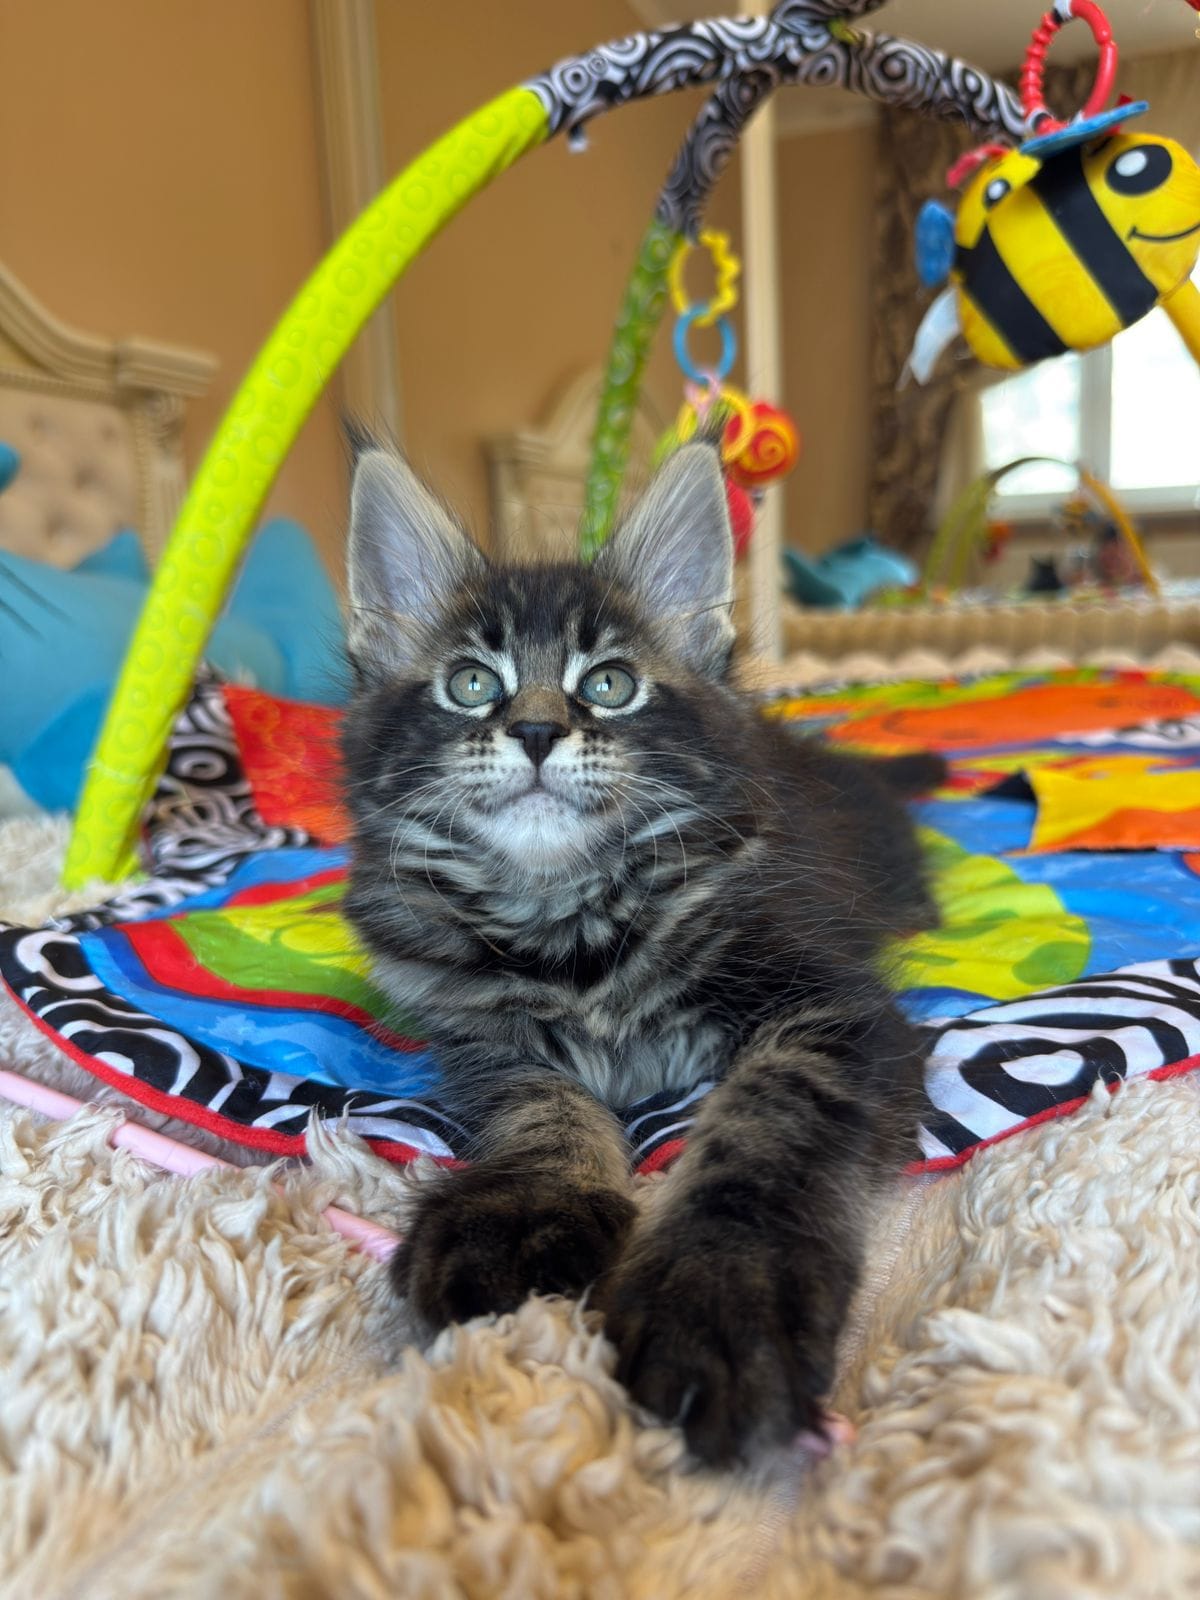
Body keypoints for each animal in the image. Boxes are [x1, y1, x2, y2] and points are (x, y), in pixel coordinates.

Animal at [340, 438, 941, 1464]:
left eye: (609, 685)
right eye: (473, 684)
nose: (537, 730)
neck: (567, 925)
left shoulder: (830, 1007)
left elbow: (764, 1128)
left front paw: (722, 1292)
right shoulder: (483, 1044)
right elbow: (541, 1110)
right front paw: (520, 1210)